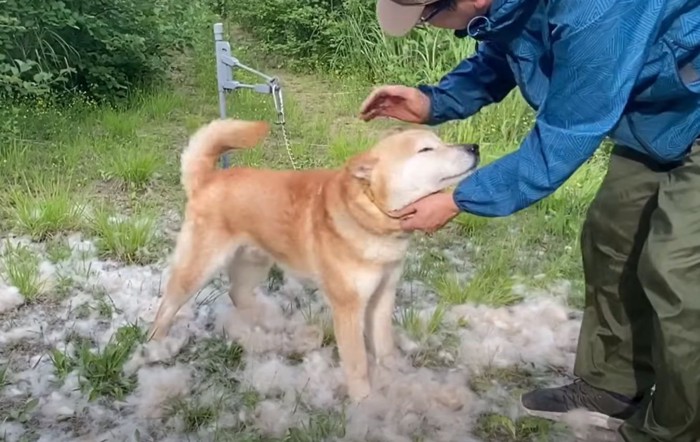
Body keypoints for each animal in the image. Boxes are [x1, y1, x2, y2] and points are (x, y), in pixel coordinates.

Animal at [149, 120, 482, 400]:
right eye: (426, 149)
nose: (474, 147)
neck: (372, 217)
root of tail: (208, 179)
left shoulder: (383, 295)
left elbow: (385, 347)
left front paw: (394, 382)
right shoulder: (348, 307)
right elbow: (357, 363)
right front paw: (364, 405)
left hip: (254, 263)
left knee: (237, 294)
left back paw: (266, 328)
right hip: (197, 269)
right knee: (166, 307)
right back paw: (156, 348)